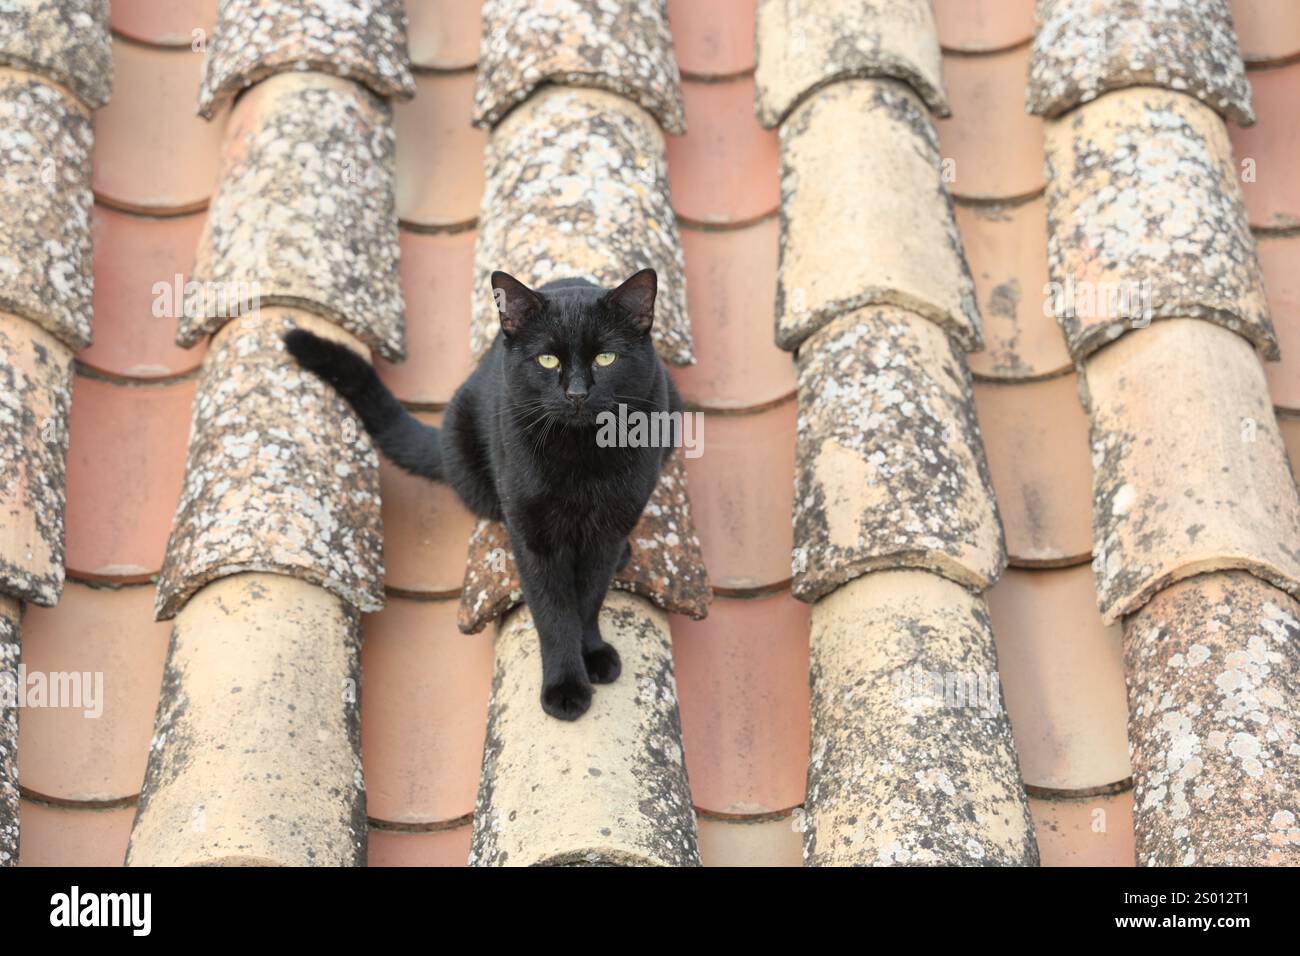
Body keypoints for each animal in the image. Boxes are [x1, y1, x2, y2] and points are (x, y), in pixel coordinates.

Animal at [287, 267, 681, 717]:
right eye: (547, 360)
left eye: (606, 358)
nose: (577, 393)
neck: (581, 455)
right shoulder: (534, 537)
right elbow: (554, 612)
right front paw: (565, 687)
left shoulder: (608, 530)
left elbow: (588, 600)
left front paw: (593, 654)